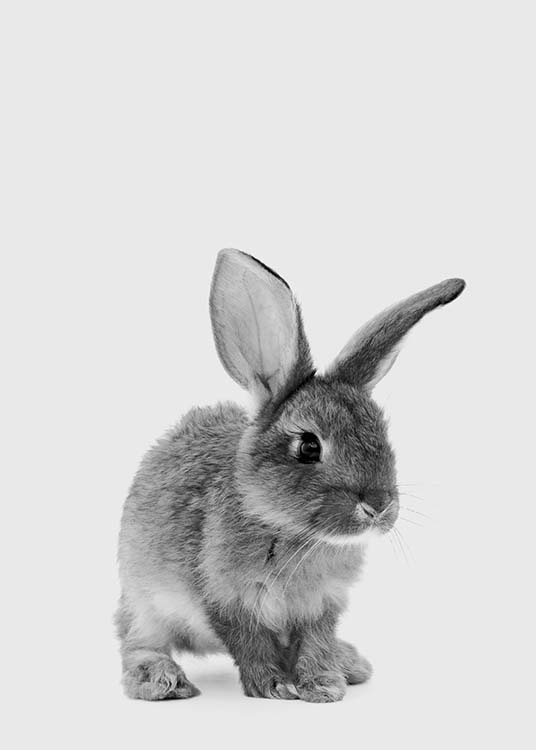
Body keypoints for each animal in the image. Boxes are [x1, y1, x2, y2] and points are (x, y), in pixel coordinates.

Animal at [116, 249, 465, 702]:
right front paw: (275, 686)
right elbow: (250, 645)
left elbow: (314, 643)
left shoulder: (321, 607)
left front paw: (323, 684)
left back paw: (349, 662)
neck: (290, 530)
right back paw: (160, 678)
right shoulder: (228, 601)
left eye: (382, 433)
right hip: (145, 600)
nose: (379, 506)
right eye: (308, 447)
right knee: (137, 640)